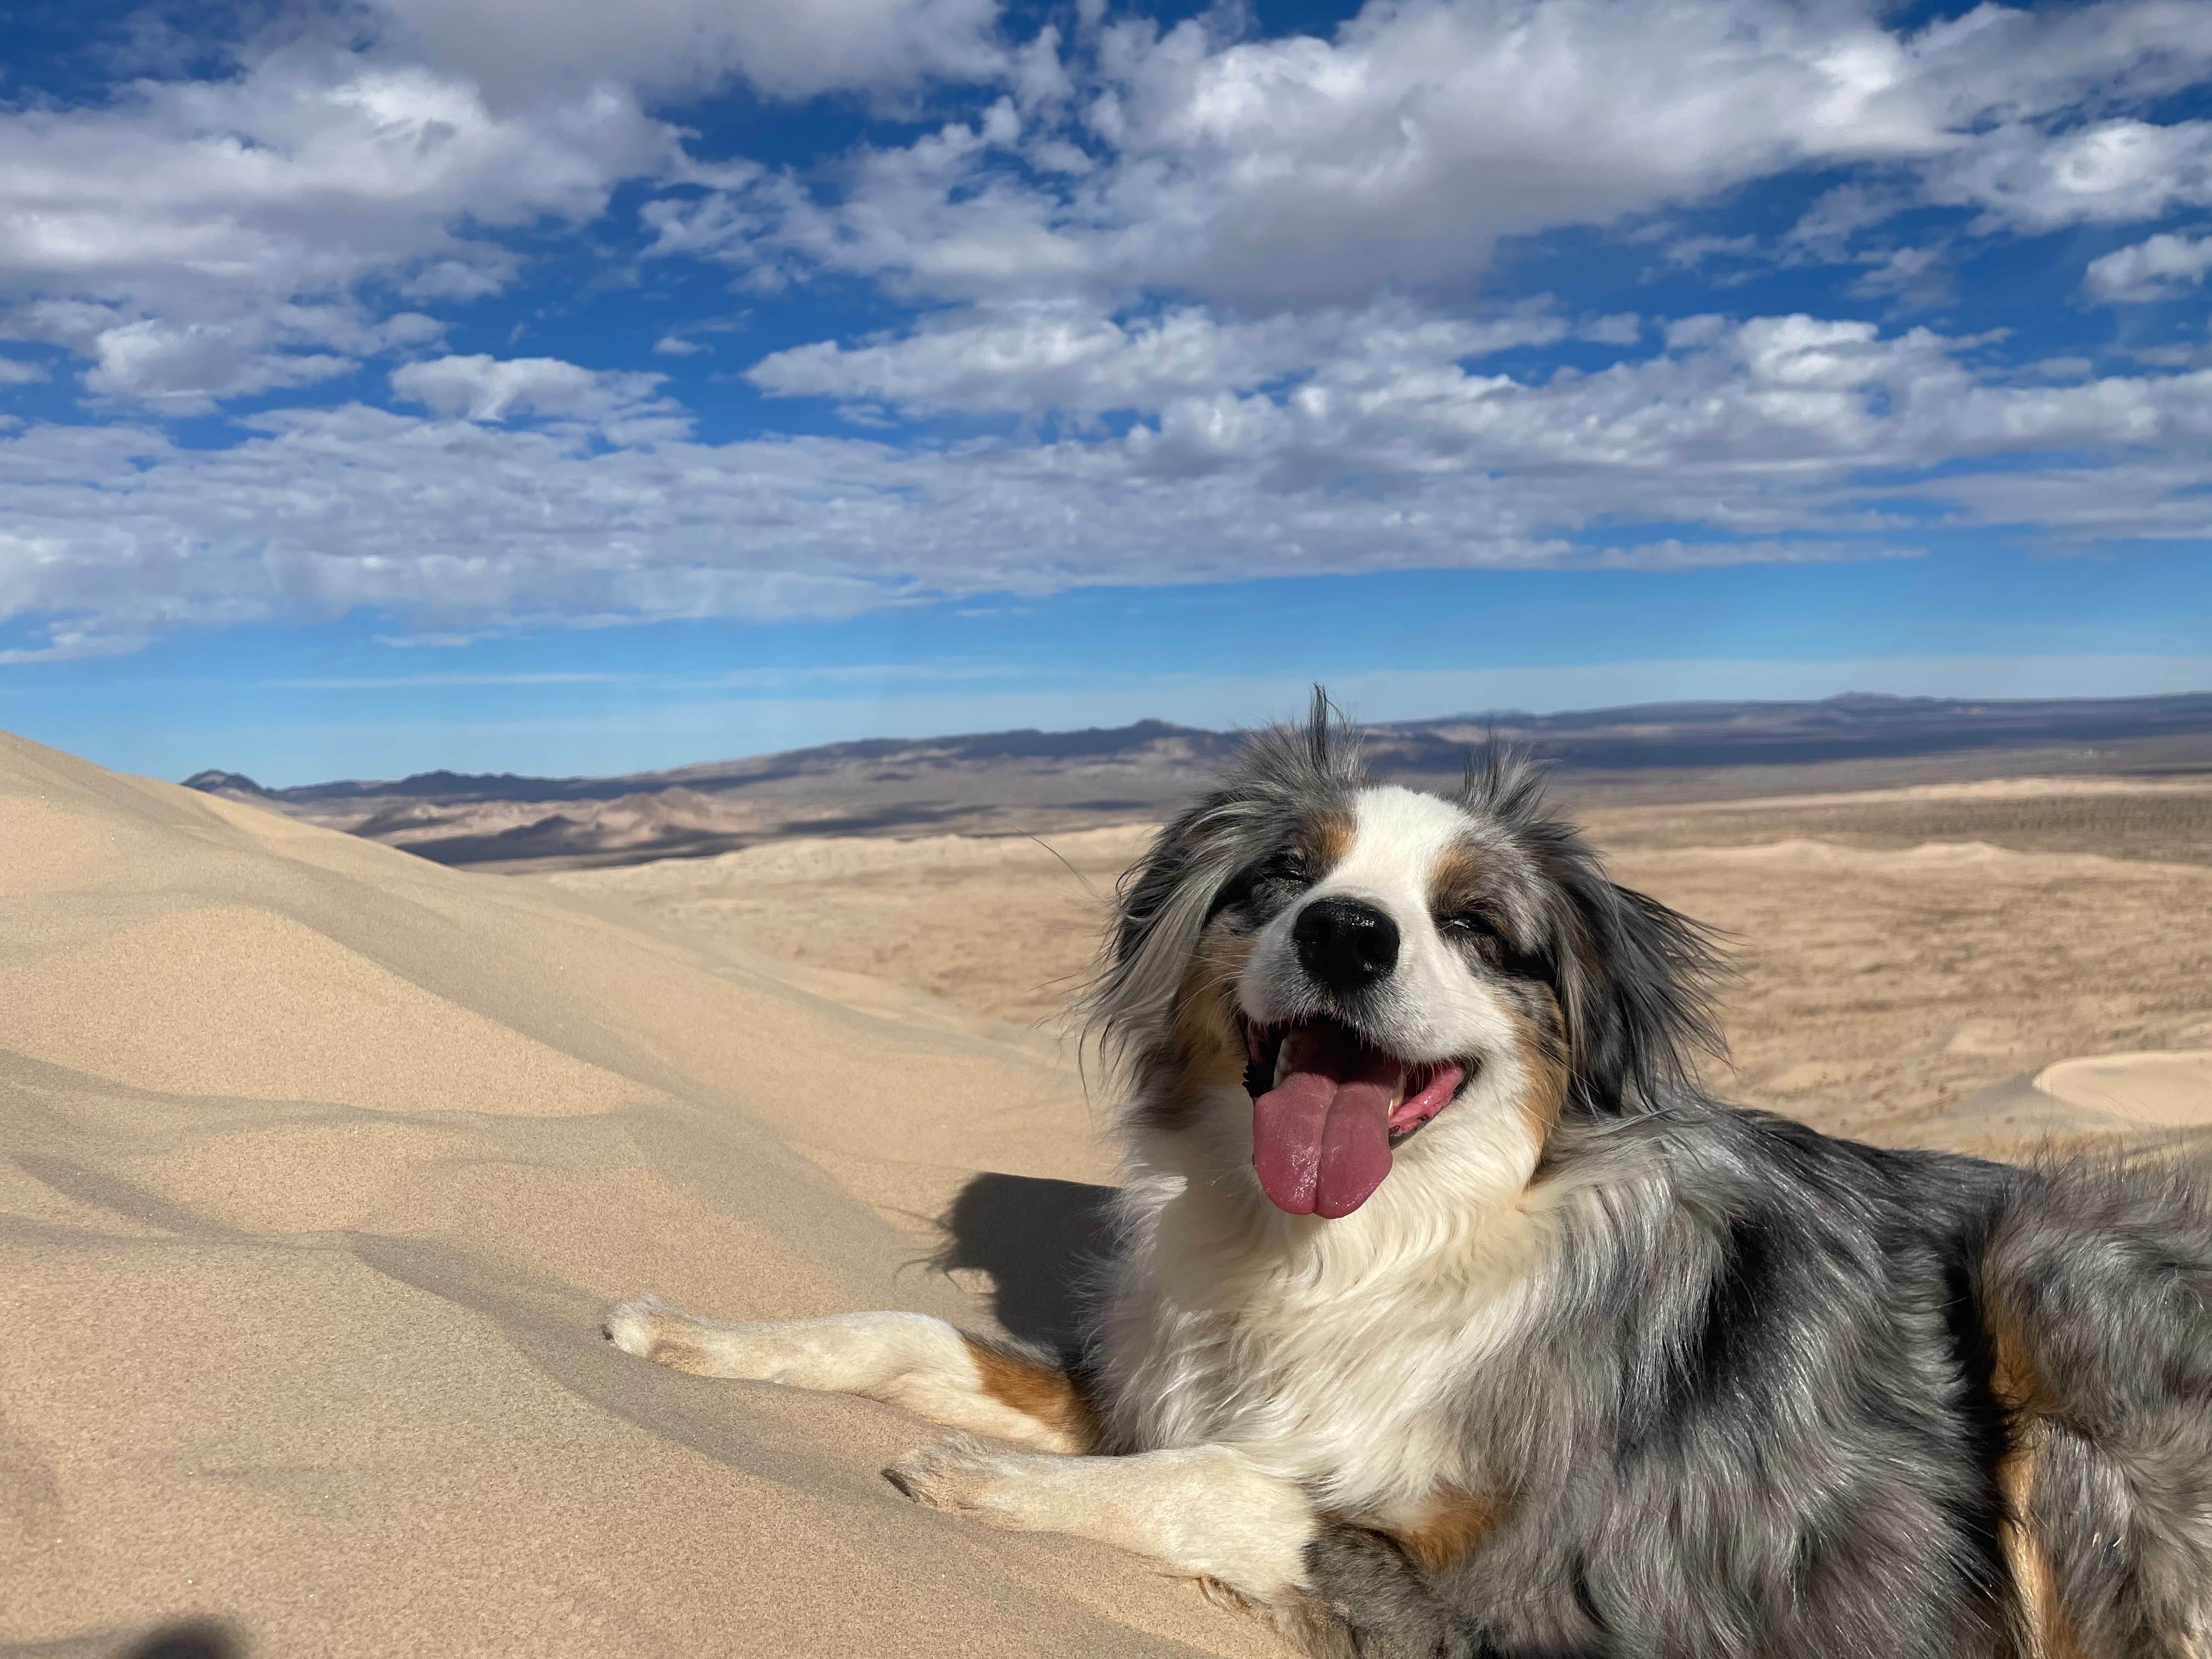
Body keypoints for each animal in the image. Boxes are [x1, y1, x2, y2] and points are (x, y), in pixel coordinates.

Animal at [606, 695, 2212, 1654]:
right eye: (1281, 881)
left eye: (1475, 926)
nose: (1346, 936)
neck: (1365, 1244)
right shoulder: (1150, 1387)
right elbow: (907, 1337)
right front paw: (683, 1333)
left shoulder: (1575, 1591)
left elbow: (1240, 1489)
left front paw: (986, 1479)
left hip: (2048, 1274)